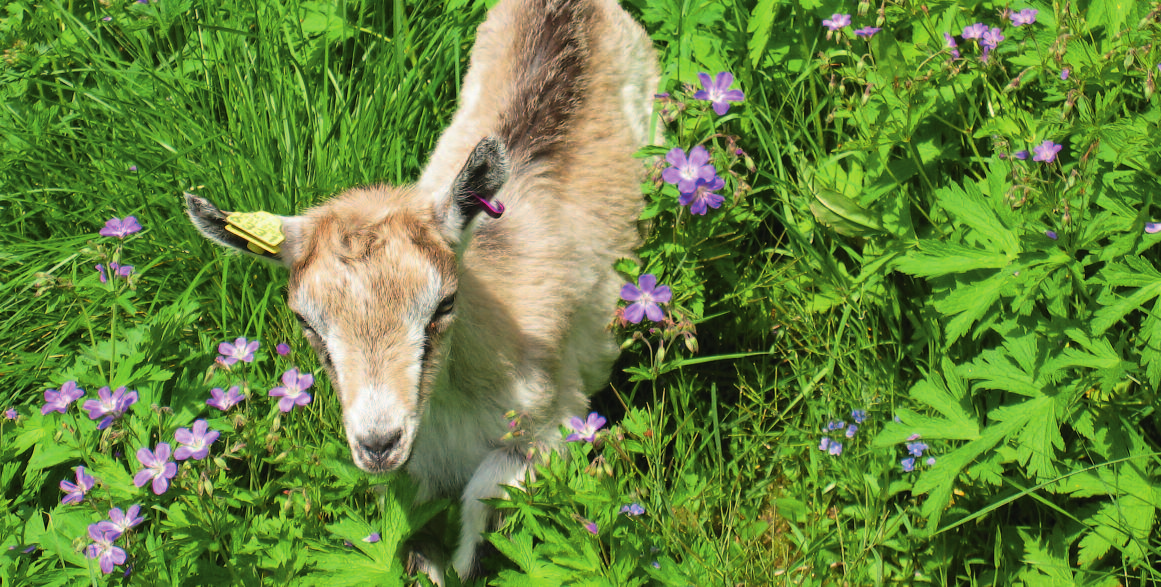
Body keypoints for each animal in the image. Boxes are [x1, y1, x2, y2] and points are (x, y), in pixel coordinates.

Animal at [186, 0, 659, 577]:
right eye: (305, 321)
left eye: (444, 303)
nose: (379, 442)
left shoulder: (557, 423)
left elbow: (482, 495)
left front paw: (463, 564)